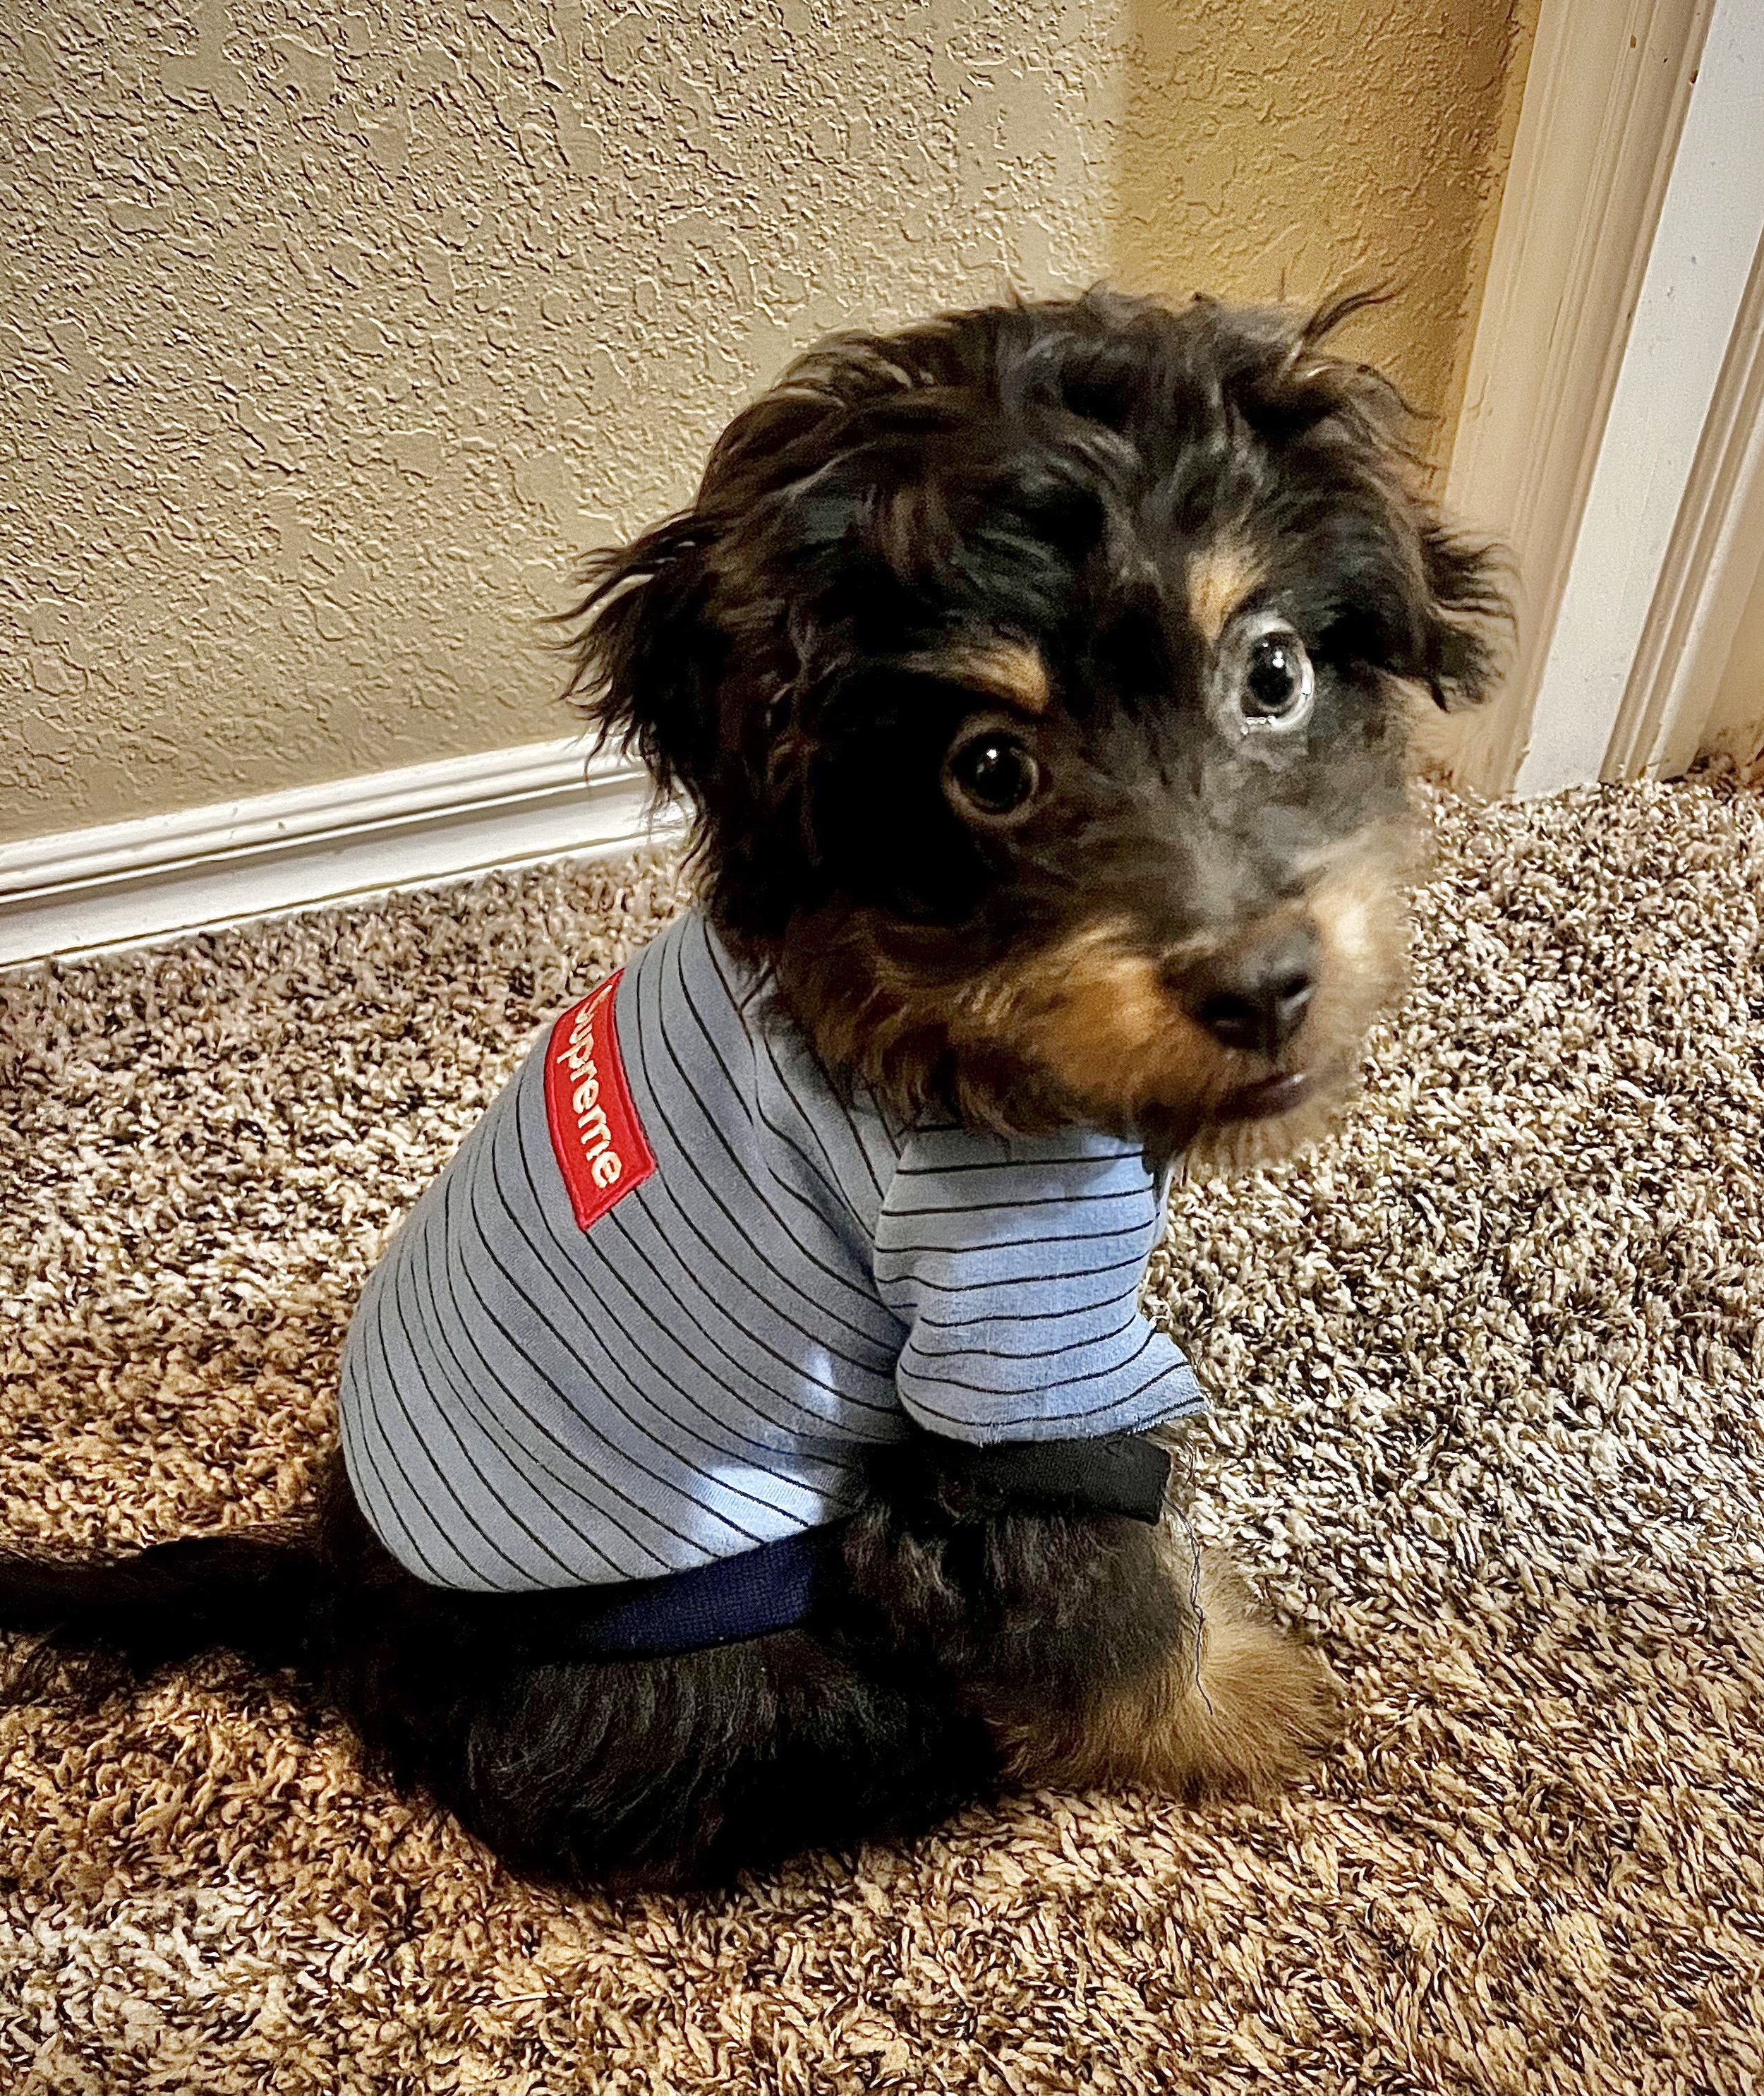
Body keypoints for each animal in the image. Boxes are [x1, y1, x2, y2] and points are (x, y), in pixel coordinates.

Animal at [0, 289, 1506, 1891]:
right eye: (989, 768)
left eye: (1272, 672)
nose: (1261, 983)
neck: (938, 1027)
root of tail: (353, 1610)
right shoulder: (1002, 1348)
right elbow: (1099, 1590)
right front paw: (1251, 1704)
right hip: (736, 1676)